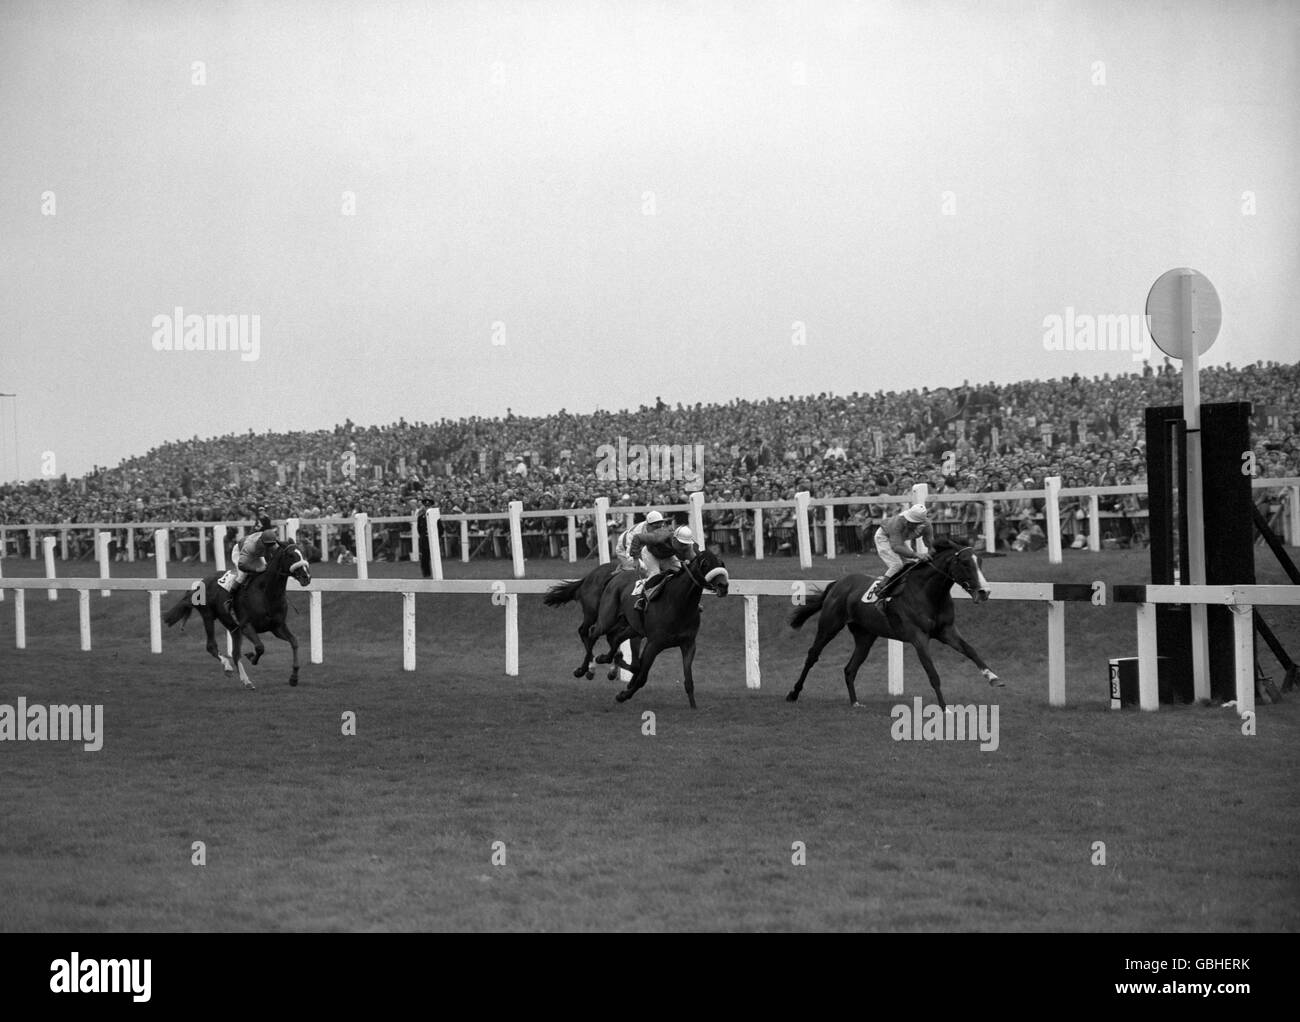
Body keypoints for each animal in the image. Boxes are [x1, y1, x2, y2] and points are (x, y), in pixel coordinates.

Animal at [163, 538, 313, 686]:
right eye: (291, 555)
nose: (306, 577)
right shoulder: (246, 626)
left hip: (233, 627)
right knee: (211, 646)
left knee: (235, 654)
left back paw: (246, 681)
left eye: (304, 554)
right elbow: (260, 647)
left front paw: (294, 677)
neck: (266, 593)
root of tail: (200, 583)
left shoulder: (277, 627)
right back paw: (227, 667)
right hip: (208, 616)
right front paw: (251, 657)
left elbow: (294, 642)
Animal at [598, 546, 733, 707]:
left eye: (721, 563)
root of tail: (617, 575)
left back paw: (609, 659)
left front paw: (694, 707)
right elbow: (642, 676)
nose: (723, 586)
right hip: (607, 619)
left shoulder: (688, 644)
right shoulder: (654, 644)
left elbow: (689, 680)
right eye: (705, 564)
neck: (679, 604)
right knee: (596, 631)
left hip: (634, 627)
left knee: (617, 637)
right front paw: (623, 695)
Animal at [780, 533, 1003, 707]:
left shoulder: (946, 631)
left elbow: (971, 651)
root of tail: (838, 583)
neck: (929, 593)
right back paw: (793, 693)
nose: (984, 592)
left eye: (980, 562)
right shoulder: (918, 637)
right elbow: (932, 673)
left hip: (865, 635)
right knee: (812, 655)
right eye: (965, 563)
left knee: (850, 668)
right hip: (830, 625)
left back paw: (855, 702)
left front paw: (994, 678)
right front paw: (944, 708)